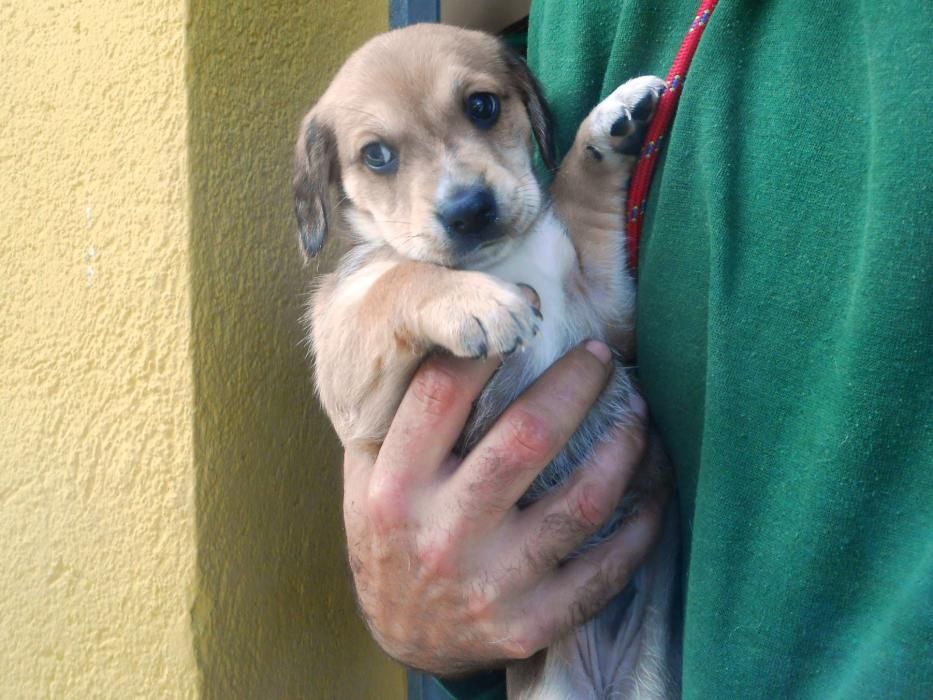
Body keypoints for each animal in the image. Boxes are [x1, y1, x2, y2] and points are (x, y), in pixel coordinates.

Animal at [296, 23, 676, 700]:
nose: (468, 209)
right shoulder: (353, 388)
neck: (502, 261)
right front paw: (474, 303)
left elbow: (580, 201)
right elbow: (401, 279)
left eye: (482, 106)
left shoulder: (605, 313)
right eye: (377, 156)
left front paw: (610, 128)